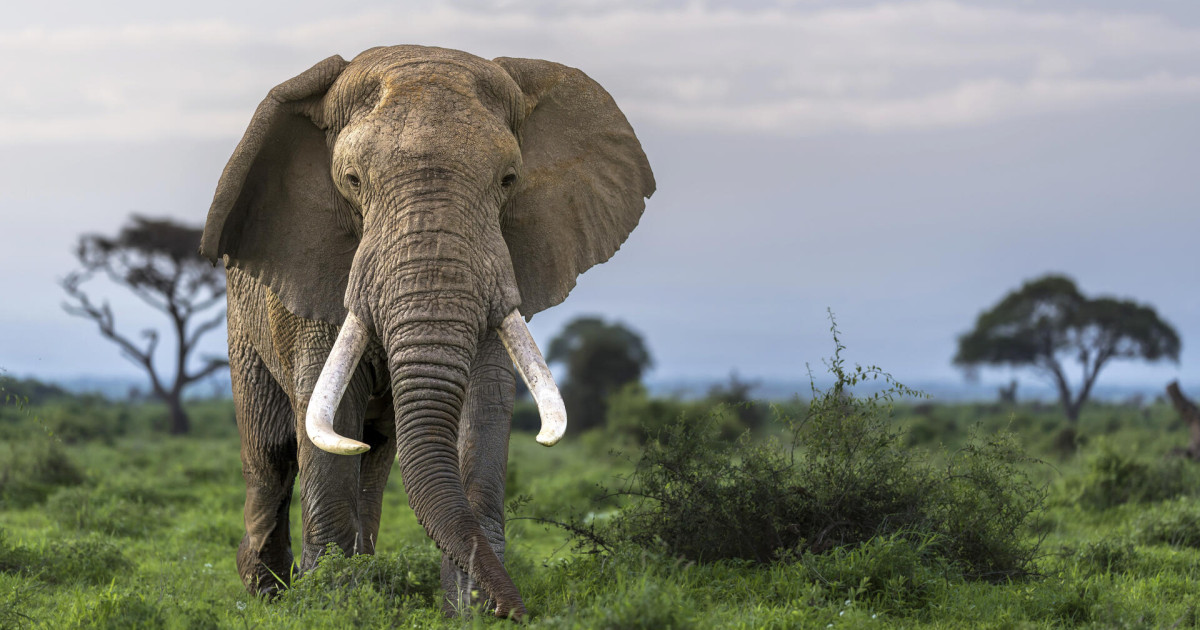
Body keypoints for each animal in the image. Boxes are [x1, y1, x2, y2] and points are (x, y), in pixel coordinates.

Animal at [200, 45, 653, 620]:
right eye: (352, 181)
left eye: (508, 180)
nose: (522, 612)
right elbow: (324, 427)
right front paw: (330, 610)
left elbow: (482, 409)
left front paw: (470, 614)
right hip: (243, 324)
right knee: (272, 455)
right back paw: (267, 595)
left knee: (372, 455)